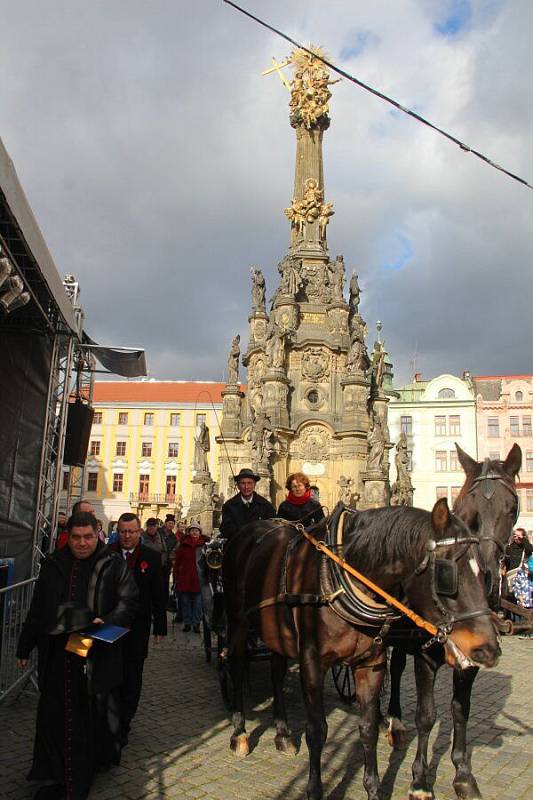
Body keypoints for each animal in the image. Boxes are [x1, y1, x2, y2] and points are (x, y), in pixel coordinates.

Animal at [220, 496, 498, 796]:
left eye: (485, 574)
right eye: (448, 574)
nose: (489, 650)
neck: (344, 578)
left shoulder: (371, 663)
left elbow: (368, 728)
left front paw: (374, 788)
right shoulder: (312, 661)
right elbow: (317, 729)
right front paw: (315, 789)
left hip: (276, 632)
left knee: (276, 672)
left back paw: (283, 733)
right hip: (237, 621)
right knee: (236, 666)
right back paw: (239, 733)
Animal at [386, 444, 520, 800]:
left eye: (513, 506)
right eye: (470, 508)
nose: (487, 572)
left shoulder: (472, 657)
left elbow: (461, 709)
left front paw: (463, 773)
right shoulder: (425, 655)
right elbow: (426, 715)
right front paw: (420, 781)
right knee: (395, 668)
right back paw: (394, 722)